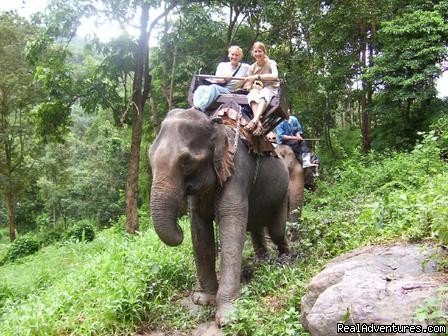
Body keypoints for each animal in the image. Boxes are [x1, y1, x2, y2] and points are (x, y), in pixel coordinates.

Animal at [149, 107, 288, 326]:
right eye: (149, 156)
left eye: (186, 161)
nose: (179, 230)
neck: (216, 126)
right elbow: (200, 231)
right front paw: (203, 300)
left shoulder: (237, 169)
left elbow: (231, 222)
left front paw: (228, 316)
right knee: (257, 228)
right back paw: (263, 262)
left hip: (284, 191)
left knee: (277, 232)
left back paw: (286, 259)